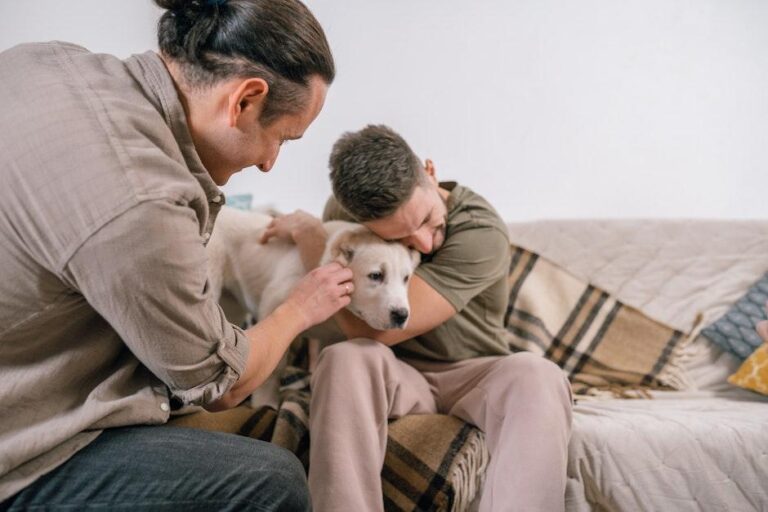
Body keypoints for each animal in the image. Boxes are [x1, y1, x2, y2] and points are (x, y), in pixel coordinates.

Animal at [206, 206, 420, 406]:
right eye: (376, 275)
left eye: (406, 278)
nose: (401, 315)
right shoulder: (274, 305)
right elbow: (274, 369)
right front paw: (266, 404)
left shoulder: (332, 338)